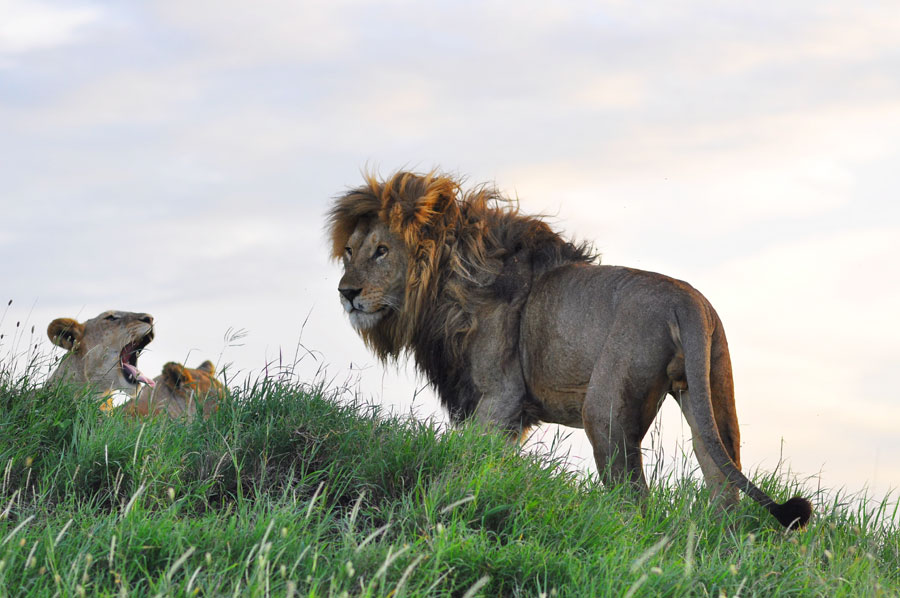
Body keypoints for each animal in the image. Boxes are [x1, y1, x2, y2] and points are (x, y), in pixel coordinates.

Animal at [328, 171, 812, 529]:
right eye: (349, 251)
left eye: (382, 251)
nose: (346, 293)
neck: (448, 282)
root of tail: (687, 303)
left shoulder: (500, 397)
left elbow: (467, 458)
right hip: (711, 392)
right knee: (722, 480)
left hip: (605, 409)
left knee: (634, 497)